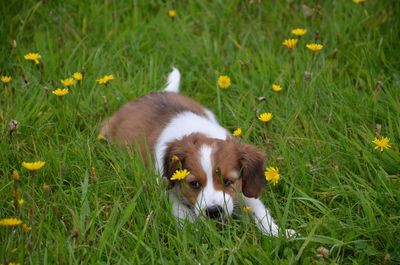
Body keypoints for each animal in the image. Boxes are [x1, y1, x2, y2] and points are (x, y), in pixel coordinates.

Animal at [102, 67, 296, 235]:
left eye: (227, 181)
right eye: (194, 184)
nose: (214, 211)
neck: (198, 132)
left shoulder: (243, 188)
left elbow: (258, 209)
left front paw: (278, 233)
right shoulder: (165, 187)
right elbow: (180, 211)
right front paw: (193, 229)